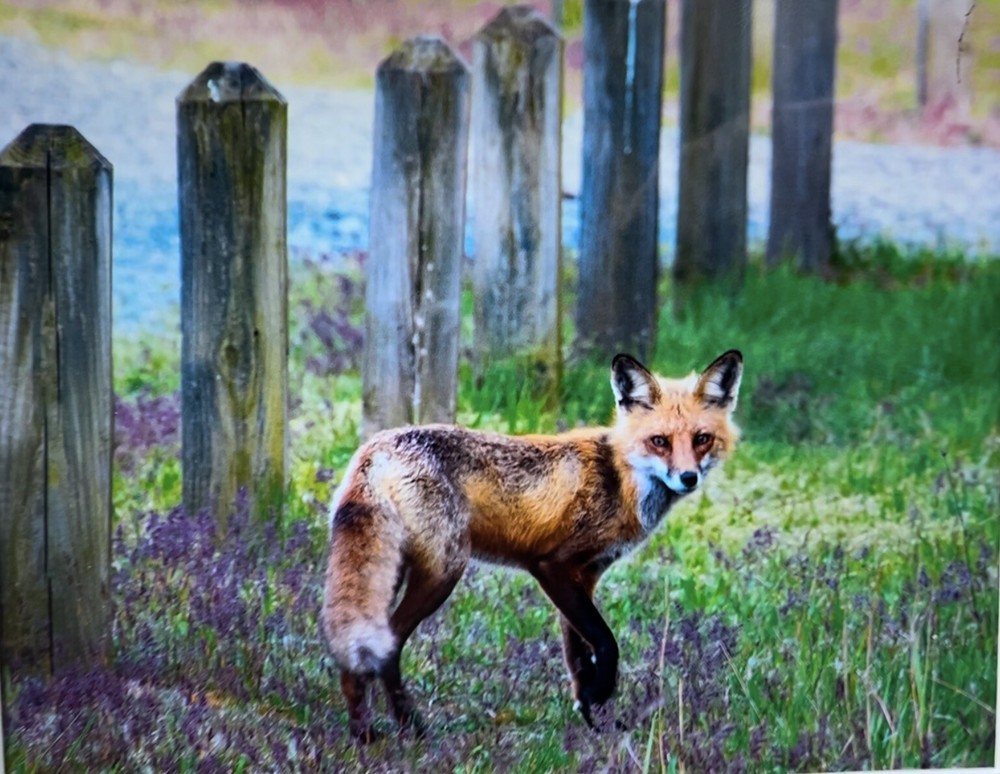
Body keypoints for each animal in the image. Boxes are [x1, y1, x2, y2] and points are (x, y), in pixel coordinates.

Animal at [322, 350, 743, 741]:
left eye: (702, 440)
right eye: (660, 442)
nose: (688, 478)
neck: (619, 476)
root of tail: (377, 447)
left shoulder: (586, 578)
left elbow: (579, 658)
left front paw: (594, 721)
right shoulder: (552, 567)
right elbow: (606, 644)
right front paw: (600, 696)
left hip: (392, 572)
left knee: (357, 656)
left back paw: (363, 732)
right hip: (442, 572)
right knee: (389, 647)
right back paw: (411, 728)